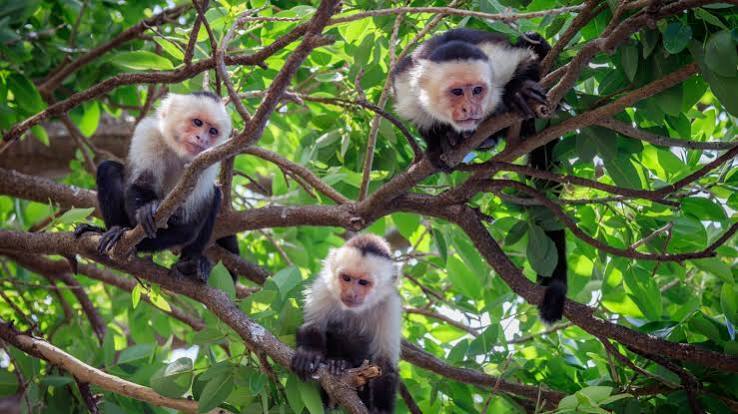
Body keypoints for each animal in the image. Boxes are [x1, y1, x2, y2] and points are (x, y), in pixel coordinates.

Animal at [74, 92, 240, 283]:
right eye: (197, 122)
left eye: (213, 131)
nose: (203, 139)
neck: (178, 151)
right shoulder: (149, 133)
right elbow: (140, 184)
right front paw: (144, 211)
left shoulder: (208, 160)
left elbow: (188, 225)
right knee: (108, 170)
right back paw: (112, 229)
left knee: (214, 197)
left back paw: (191, 263)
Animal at [291, 234, 401, 413]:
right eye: (346, 278)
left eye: (363, 282)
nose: (351, 293)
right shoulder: (324, 289)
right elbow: (313, 325)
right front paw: (309, 352)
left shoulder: (390, 305)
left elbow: (384, 364)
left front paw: (380, 409)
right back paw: (338, 363)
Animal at [392, 28, 567, 323]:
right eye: (457, 92)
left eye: (477, 90)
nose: (471, 109)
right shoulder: (406, 86)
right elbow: (420, 119)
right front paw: (438, 145)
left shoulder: (497, 63)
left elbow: (525, 60)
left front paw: (518, 90)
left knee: (533, 42)